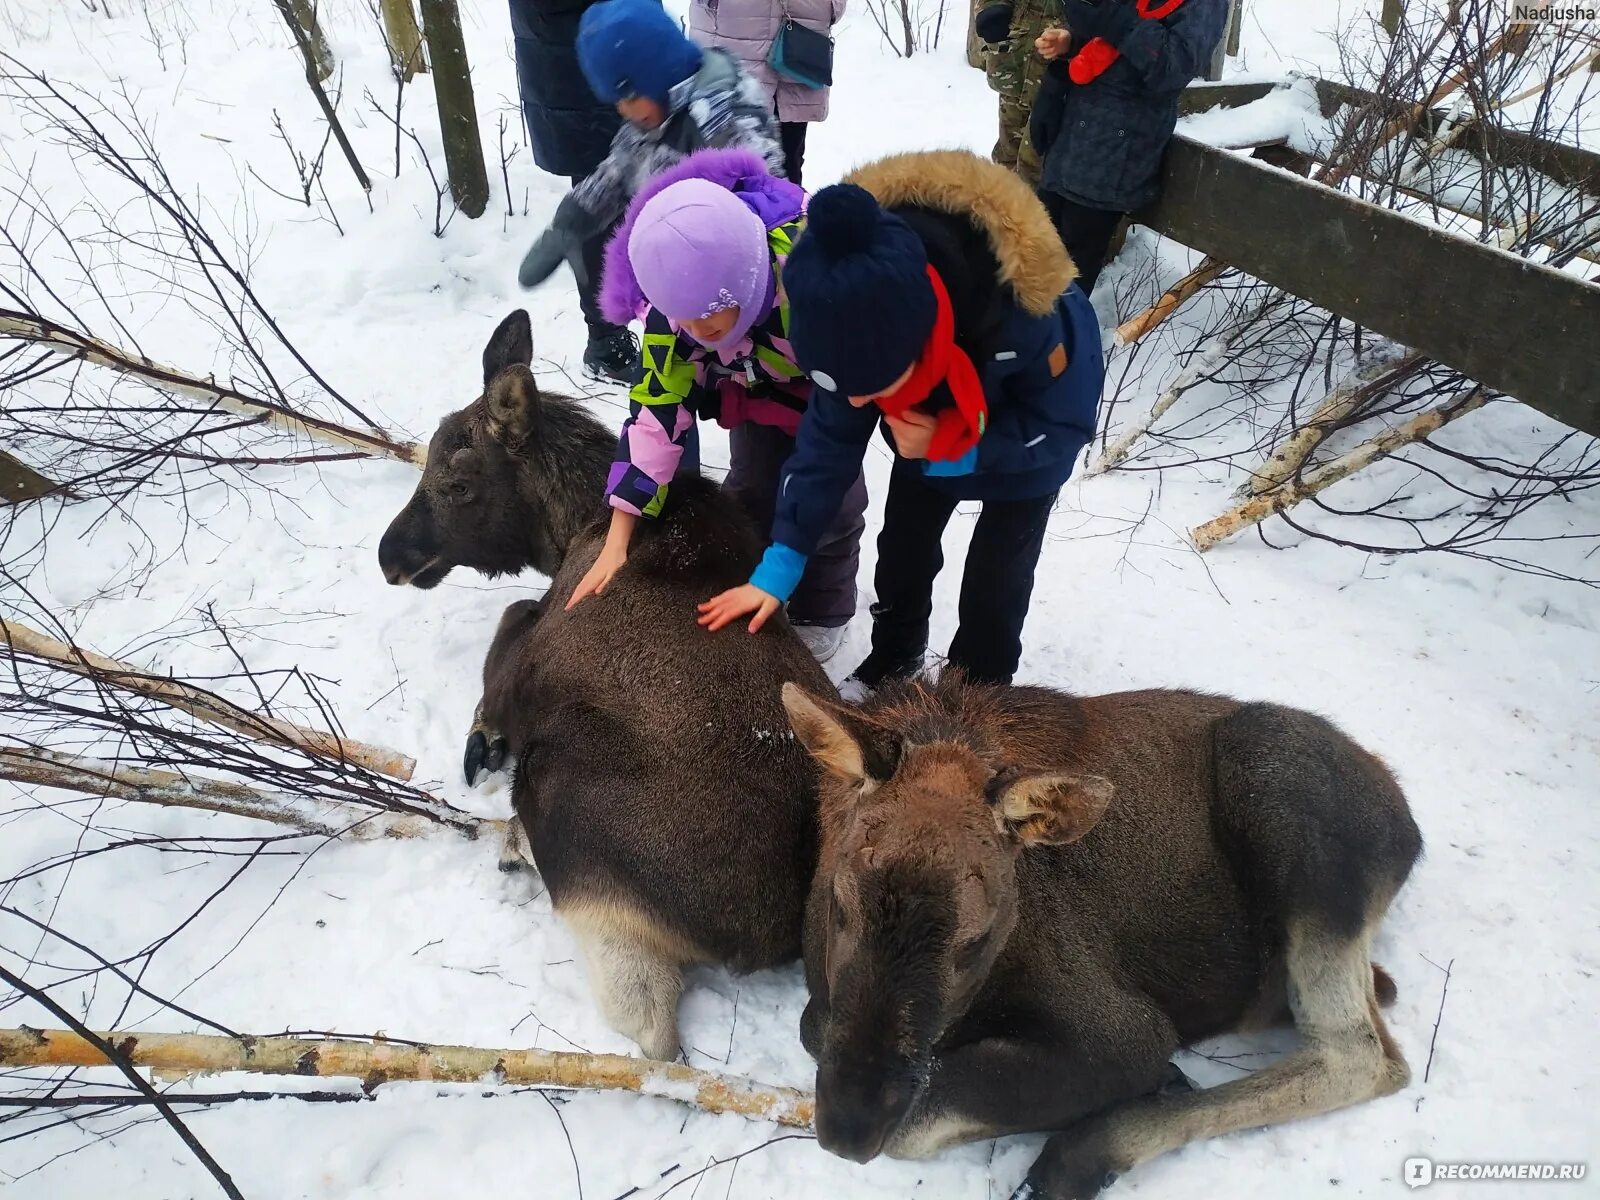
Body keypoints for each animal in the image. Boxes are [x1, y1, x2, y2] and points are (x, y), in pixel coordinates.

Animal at [380, 312, 832, 1062]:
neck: (572, 526)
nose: (391, 556)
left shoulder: (525, 653)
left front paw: (481, 740)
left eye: (458, 483)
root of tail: (755, 932)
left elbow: (507, 627)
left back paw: (513, 847)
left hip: (568, 815)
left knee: (650, 1024)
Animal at [780, 678, 1420, 1200]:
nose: (847, 1129)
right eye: (840, 903)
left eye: (975, 940)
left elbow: (919, 1118)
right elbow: (817, 1029)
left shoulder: (1124, 1030)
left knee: (1362, 1053)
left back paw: (1087, 1150)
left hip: (1283, 795)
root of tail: (1408, 824)